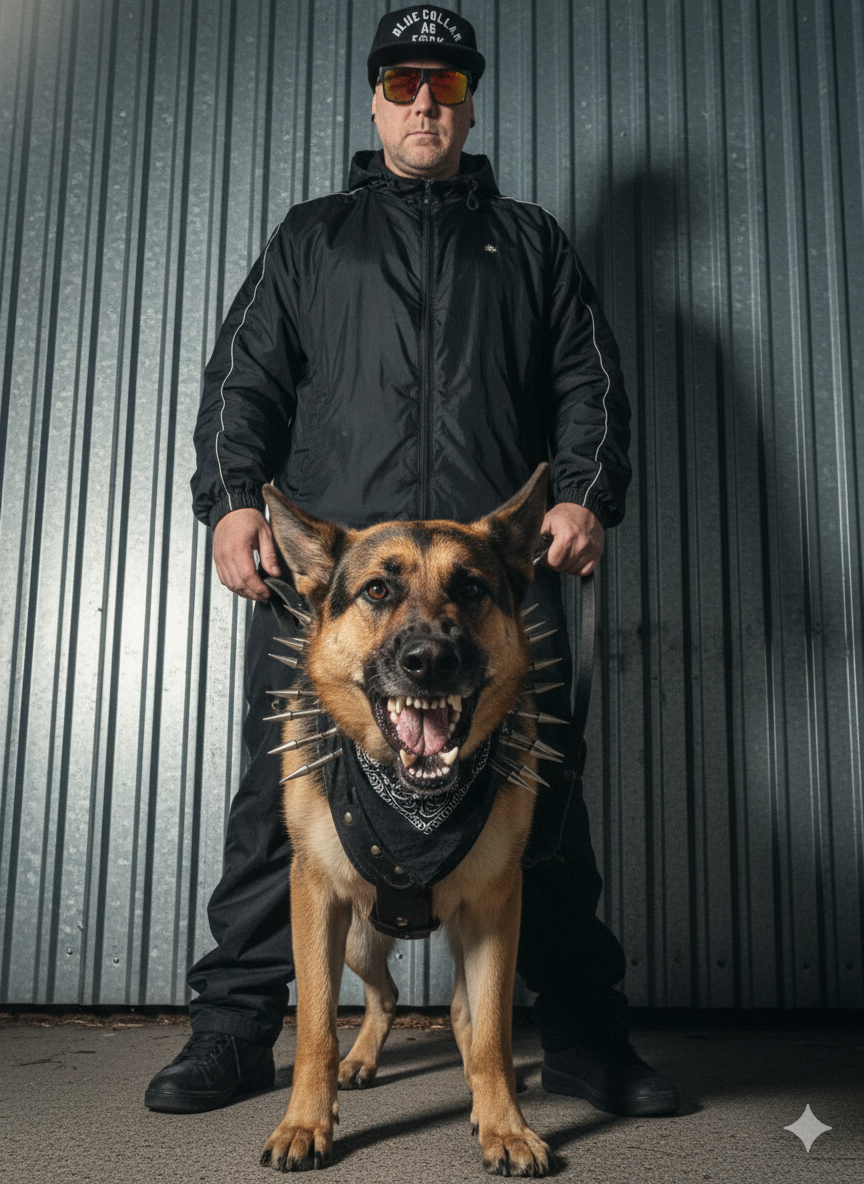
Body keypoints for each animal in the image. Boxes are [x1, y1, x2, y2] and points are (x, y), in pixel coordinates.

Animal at [259, 463, 554, 1177]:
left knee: (462, 1012)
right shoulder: (316, 900)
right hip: (358, 937)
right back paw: (360, 1061)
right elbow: (315, 1028)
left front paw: (505, 1126)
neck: (412, 809)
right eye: (376, 590)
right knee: (386, 994)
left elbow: (495, 1033)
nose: (429, 661)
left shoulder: (498, 906)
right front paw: (305, 1123)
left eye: (471, 588)